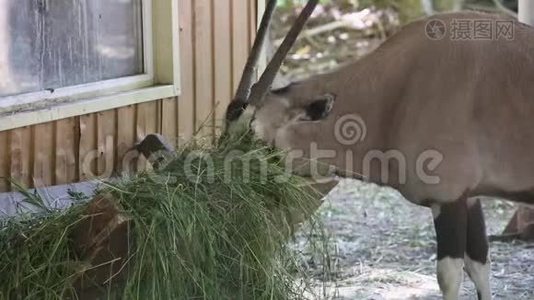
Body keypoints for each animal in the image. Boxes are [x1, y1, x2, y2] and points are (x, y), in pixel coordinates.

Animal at [225, 1, 534, 298]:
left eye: (252, 133)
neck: (395, 93)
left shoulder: (447, 198)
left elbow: (449, 277)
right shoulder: (469, 197)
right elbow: (479, 266)